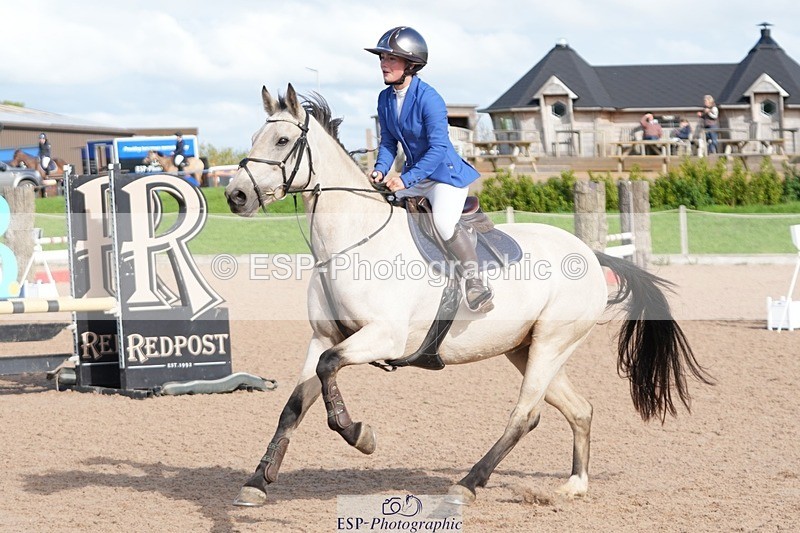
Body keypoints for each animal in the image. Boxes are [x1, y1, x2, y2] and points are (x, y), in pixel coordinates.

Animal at [224, 84, 713, 508]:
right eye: (252, 138)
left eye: (283, 140)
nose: (236, 195)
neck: (350, 243)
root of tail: (590, 255)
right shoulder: (324, 337)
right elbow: (294, 405)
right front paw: (257, 482)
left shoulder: (381, 337)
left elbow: (329, 374)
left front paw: (359, 434)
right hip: (525, 347)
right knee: (579, 410)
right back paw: (574, 485)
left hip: (553, 341)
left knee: (526, 414)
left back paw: (468, 484)